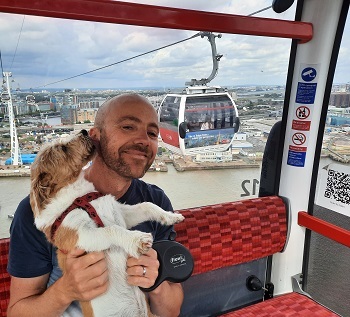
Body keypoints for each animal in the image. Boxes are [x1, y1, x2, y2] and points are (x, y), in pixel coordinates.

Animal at [30, 130, 185, 316]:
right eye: (63, 148)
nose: (83, 131)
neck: (80, 196)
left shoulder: (122, 213)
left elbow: (147, 206)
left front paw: (170, 216)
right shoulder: (83, 236)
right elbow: (112, 229)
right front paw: (137, 240)